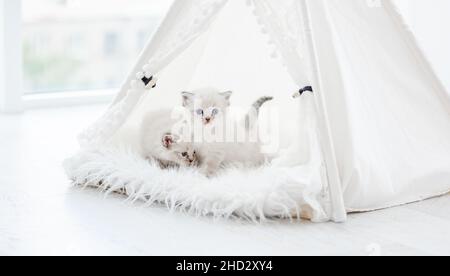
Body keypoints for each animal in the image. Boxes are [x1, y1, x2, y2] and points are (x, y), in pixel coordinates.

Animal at [141, 87, 272, 176]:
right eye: (200, 111)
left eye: (214, 111)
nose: (207, 119)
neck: (204, 135)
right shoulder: (195, 150)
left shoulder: (216, 152)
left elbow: (209, 165)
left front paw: (202, 176)